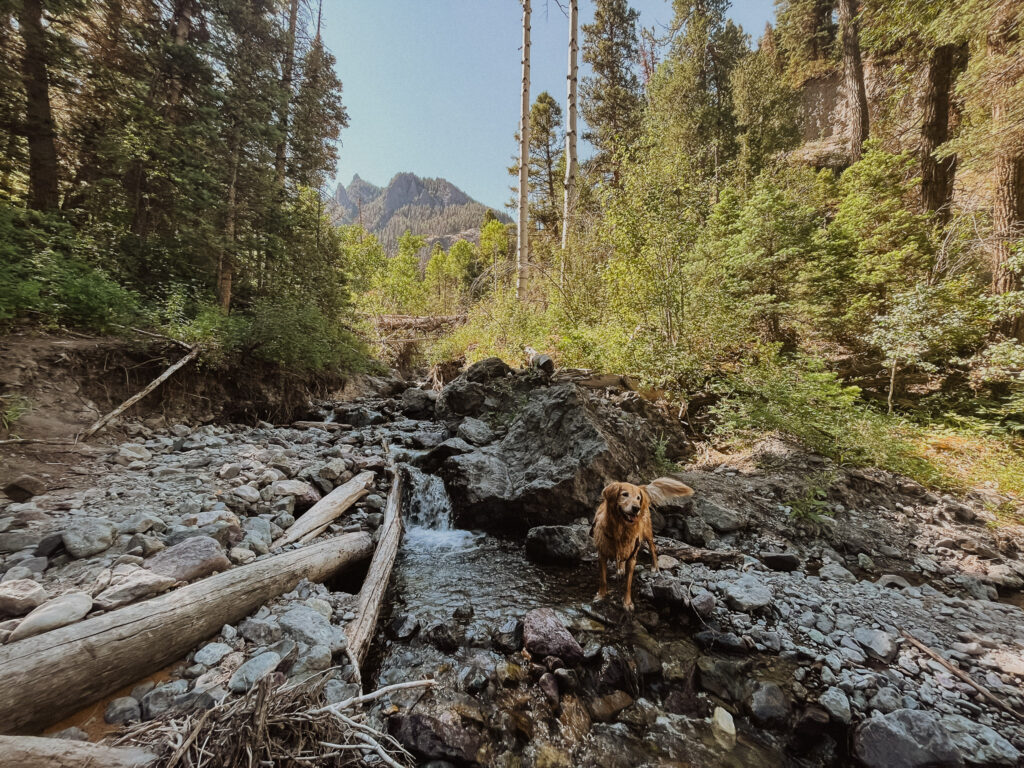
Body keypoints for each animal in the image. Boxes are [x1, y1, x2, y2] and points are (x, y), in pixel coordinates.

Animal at [593, 479, 696, 610]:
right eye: (624, 494)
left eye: (638, 498)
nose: (636, 508)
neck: (621, 529)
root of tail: (640, 487)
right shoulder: (602, 555)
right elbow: (603, 580)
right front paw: (601, 595)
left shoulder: (632, 559)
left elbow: (628, 584)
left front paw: (627, 603)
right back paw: (620, 569)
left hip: (647, 533)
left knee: (653, 549)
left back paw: (655, 567)